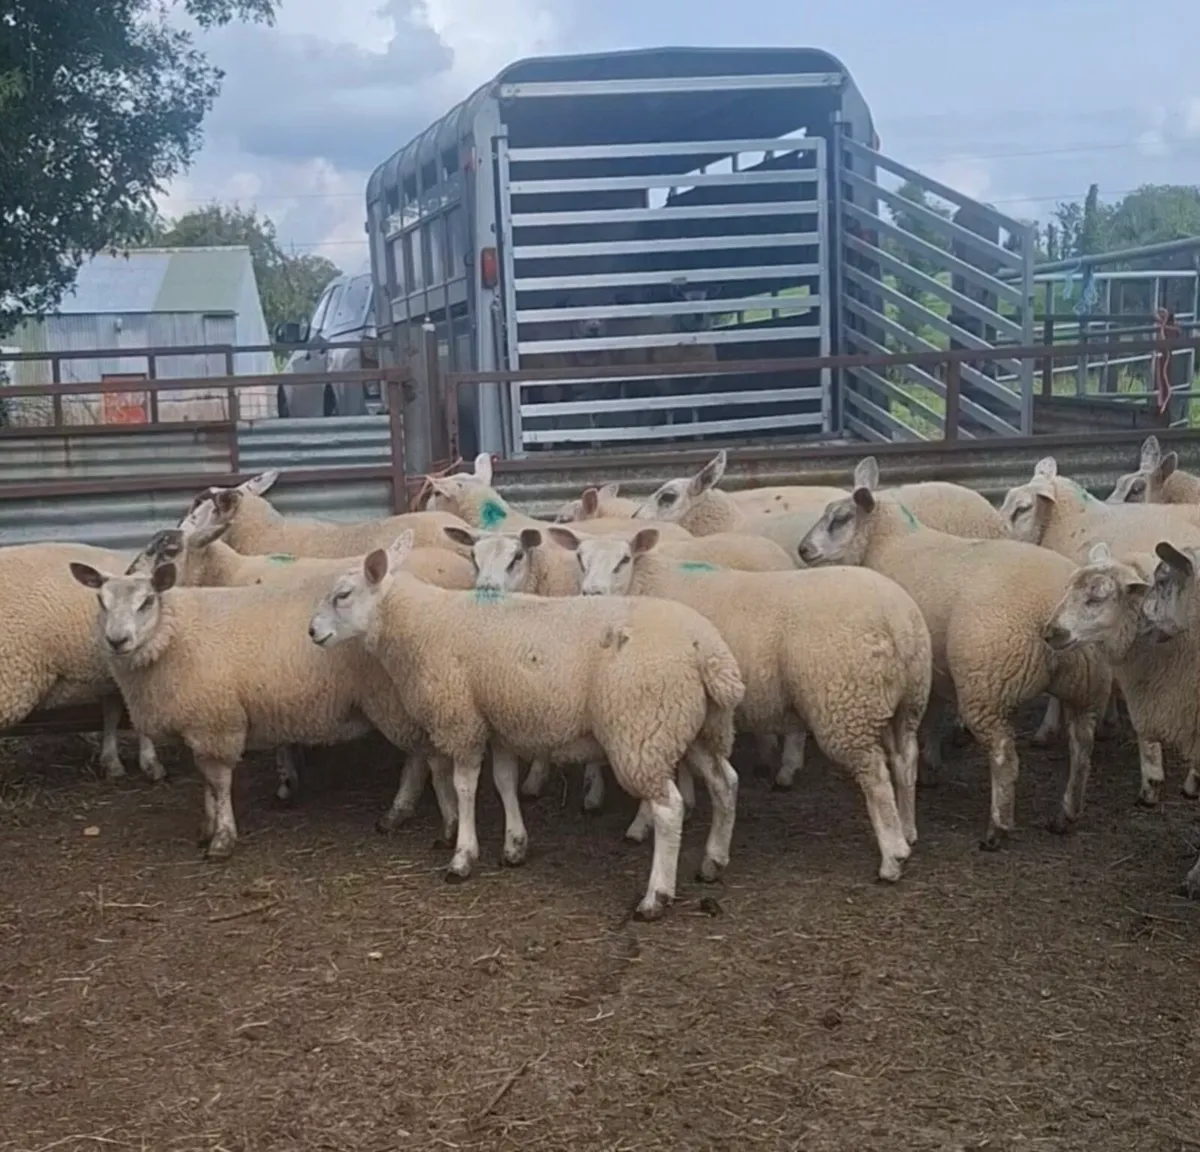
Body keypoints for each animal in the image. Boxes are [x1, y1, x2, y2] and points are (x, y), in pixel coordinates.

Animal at [67, 559, 463, 861]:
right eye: (100, 601)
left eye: (147, 601)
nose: (117, 641)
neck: (172, 635)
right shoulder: (200, 723)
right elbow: (205, 781)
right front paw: (207, 826)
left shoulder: (217, 723)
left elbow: (219, 783)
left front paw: (222, 838)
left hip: (394, 699)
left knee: (420, 758)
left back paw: (398, 812)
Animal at [307, 530, 746, 921]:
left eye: (342, 595)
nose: (312, 632)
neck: (418, 623)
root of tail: (708, 652)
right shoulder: (501, 720)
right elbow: (503, 782)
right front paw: (514, 846)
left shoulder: (460, 719)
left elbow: (464, 787)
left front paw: (462, 857)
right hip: (698, 727)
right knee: (726, 782)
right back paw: (713, 861)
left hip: (642, 729)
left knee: (669, 808)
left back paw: (656, 897)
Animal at [557, 524, 931, 882]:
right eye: (579, 559)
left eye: (623, 560)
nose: (591, 593)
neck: (641, 584)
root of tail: (899, 618)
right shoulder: (675, 709)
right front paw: (686, 802)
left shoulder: (649, 707)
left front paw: (641, 825)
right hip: (904, 702)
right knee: (905, 759)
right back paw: (908, 830)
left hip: (846, 705)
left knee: (875, 776)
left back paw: (892, 858)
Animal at [798, 457, 1113, 849]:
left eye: (840, 518)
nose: (803, 550)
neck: (888, 541)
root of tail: (1053, 610)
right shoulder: (934, 667)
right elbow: (934, 711)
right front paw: (932, 761)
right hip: (1087, 684)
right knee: (1082, 749)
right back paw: (1066, 814)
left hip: (987, 682)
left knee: (1005, 756)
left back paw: (997, 828)